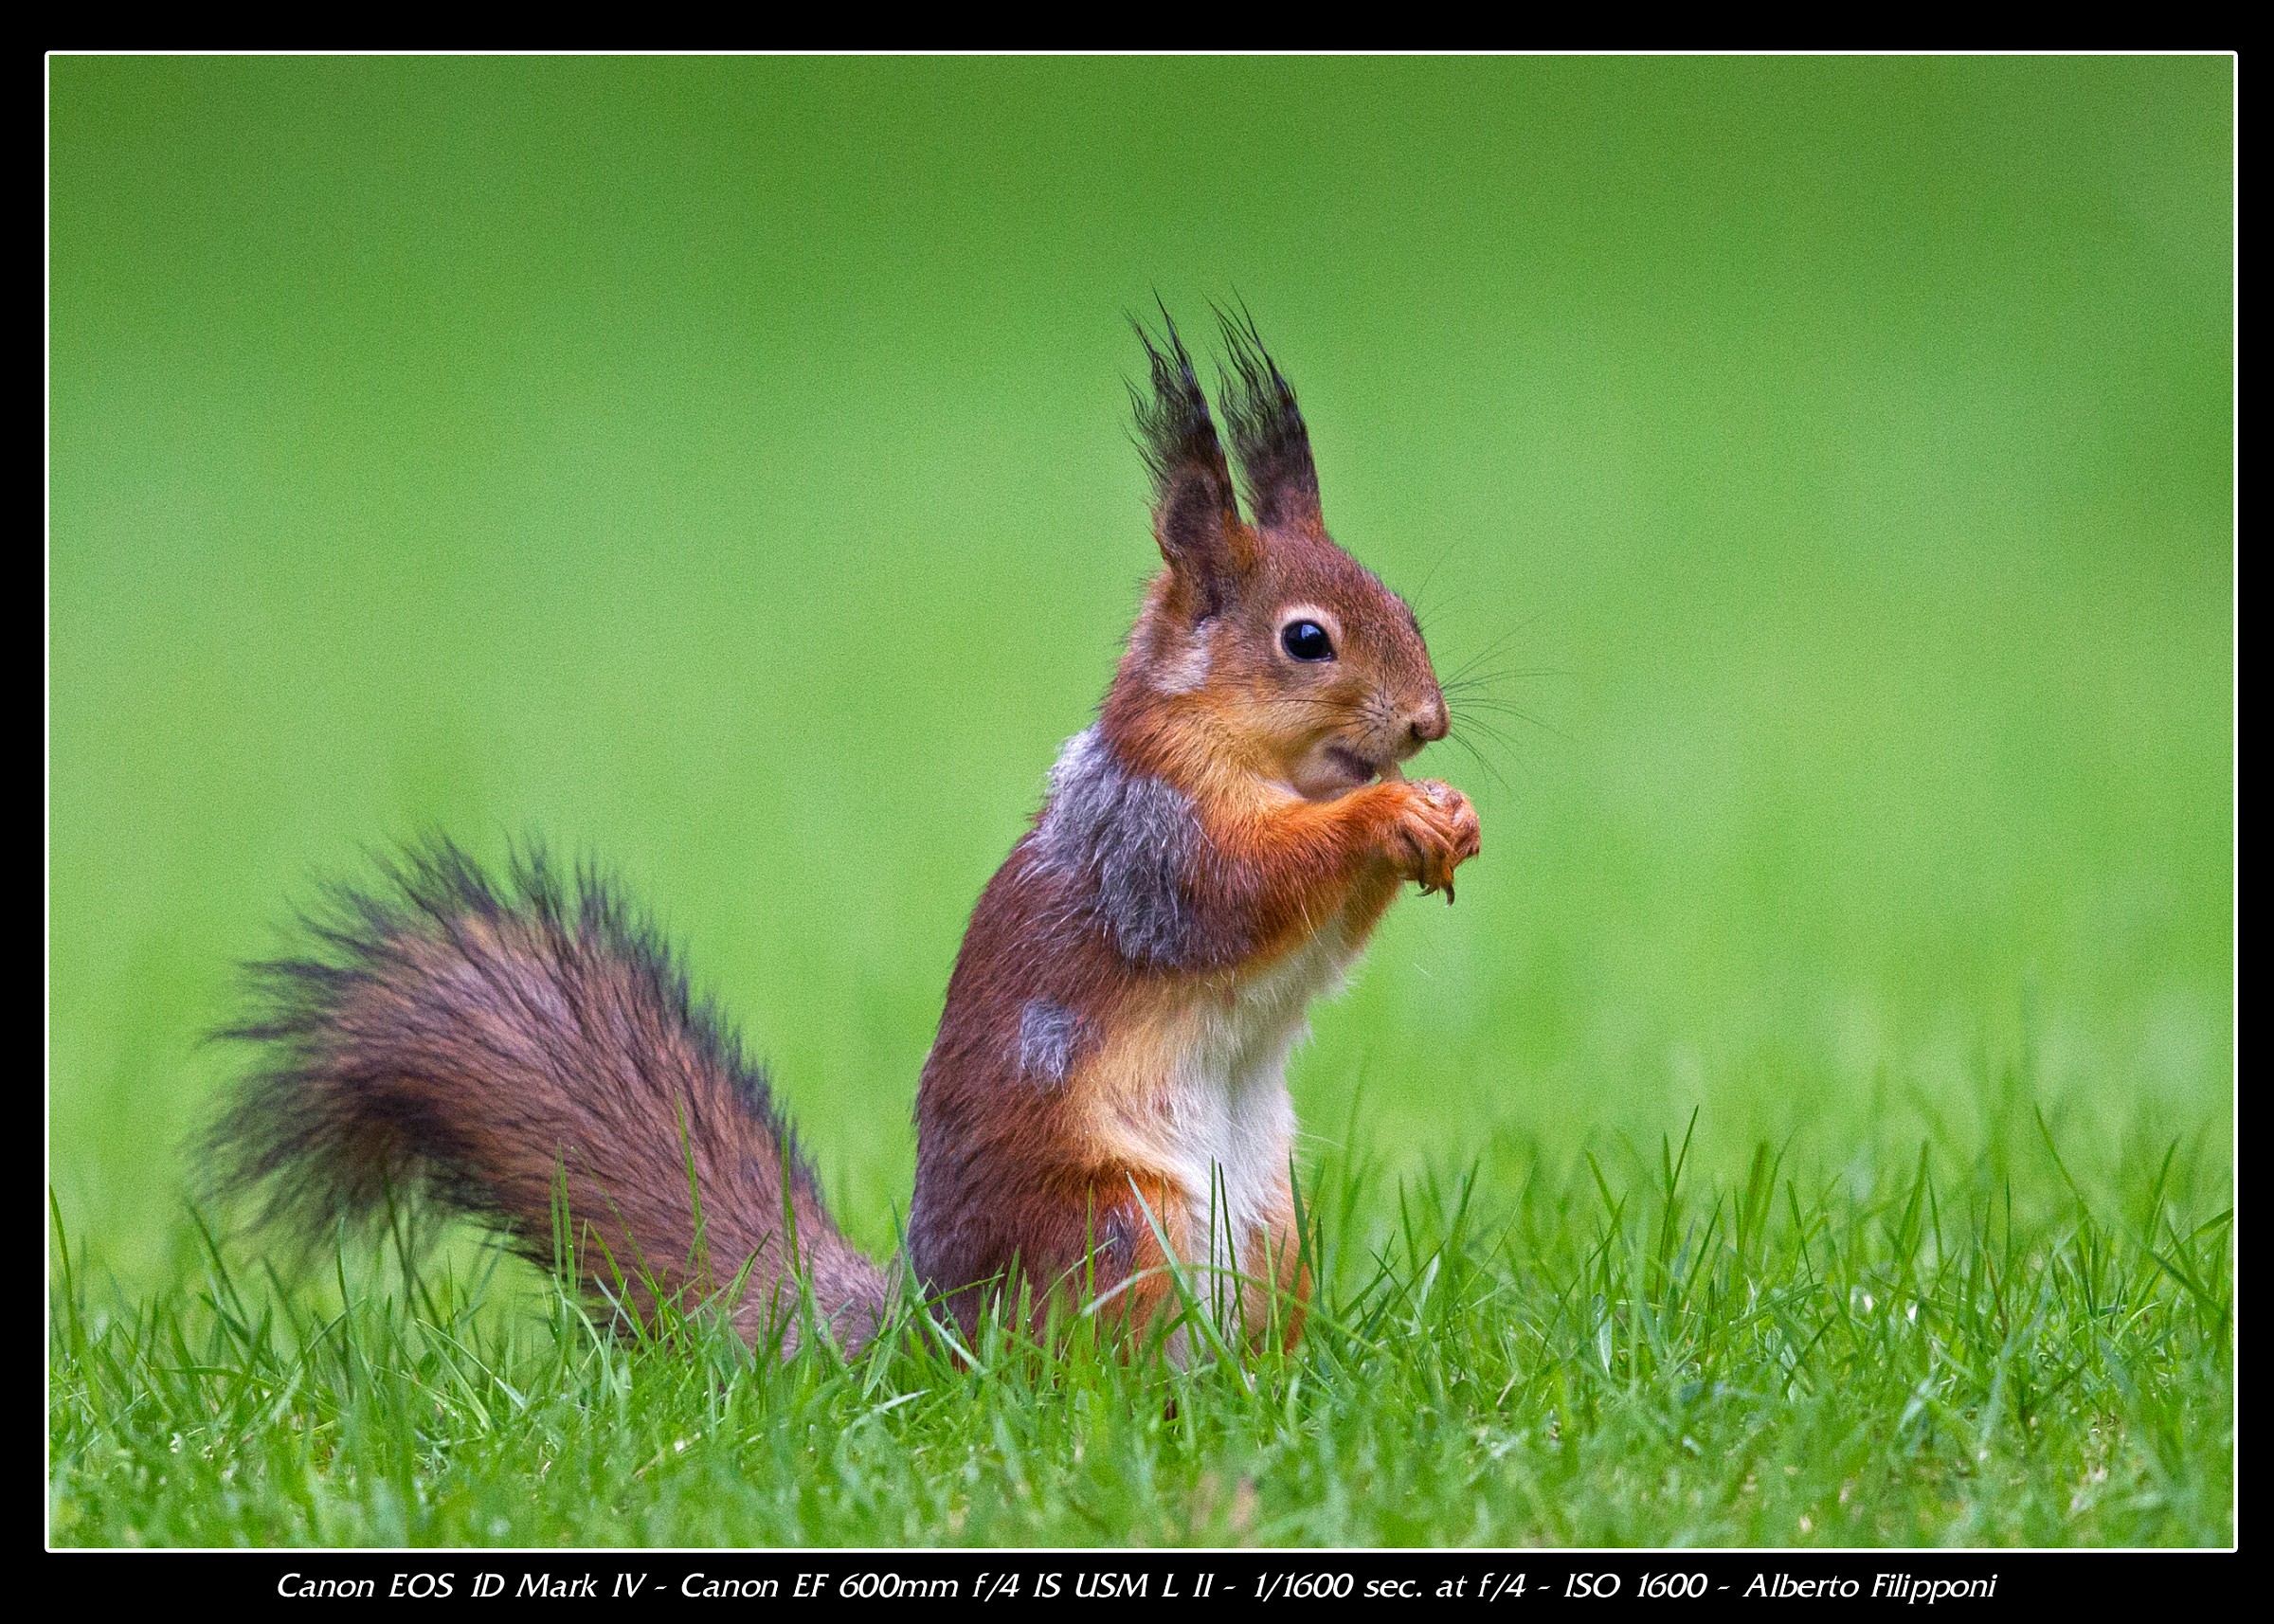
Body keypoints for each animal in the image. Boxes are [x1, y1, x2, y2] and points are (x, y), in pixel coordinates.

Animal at [208, 313, 1481, 1357]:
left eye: (1408, 609)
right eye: (1306, 639)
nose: (1429, 721)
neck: (1243, 756)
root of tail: (935, 1333)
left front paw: (1449, 817)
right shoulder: (1147, 836)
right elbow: (1240, 890)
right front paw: (1387, 814)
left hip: (1269, 1232)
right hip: (1119, 1231)